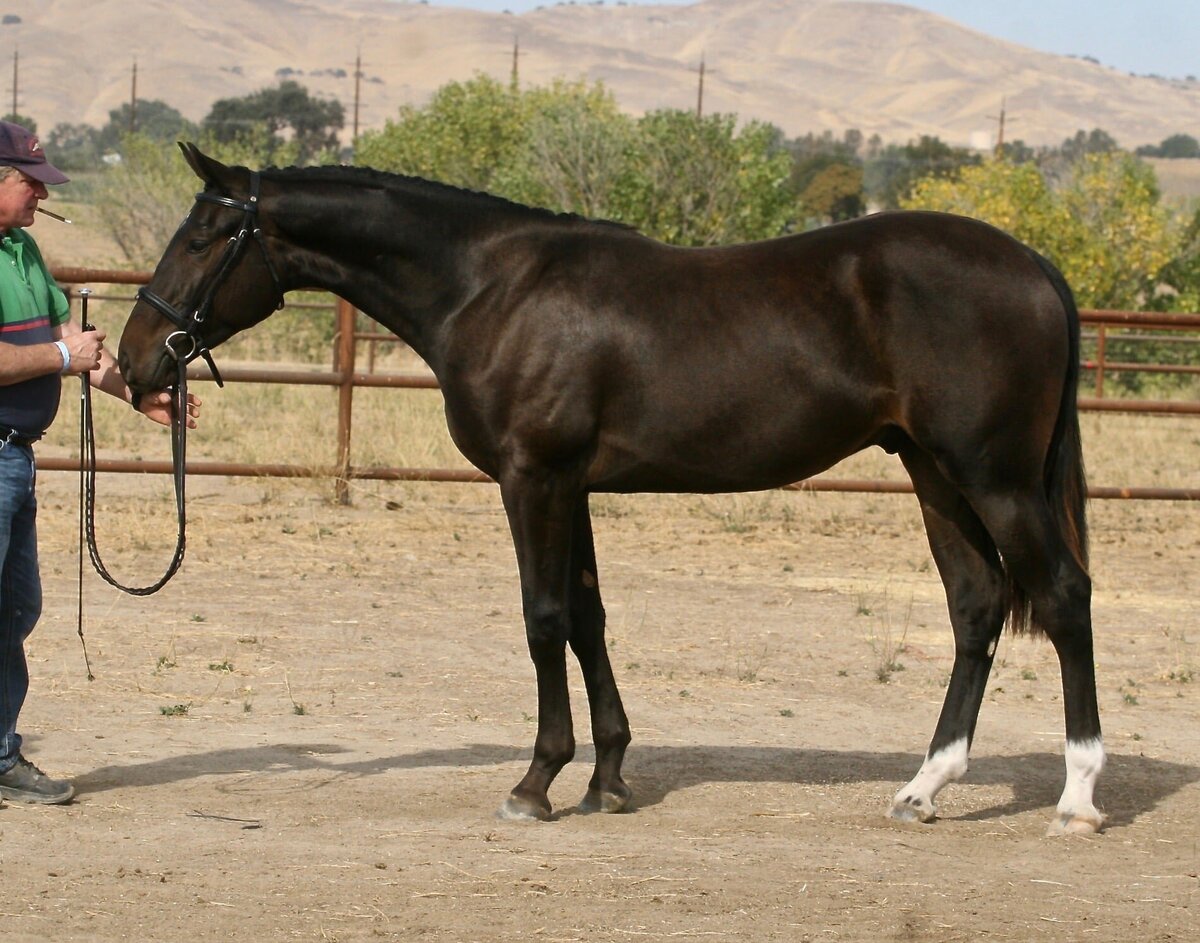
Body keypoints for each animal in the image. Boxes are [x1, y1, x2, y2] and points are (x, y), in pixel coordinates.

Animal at [117, 145, 1099, 830]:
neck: (491, 288)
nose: (135, 363)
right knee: (976, 605)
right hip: (933, 471)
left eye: (203, 237)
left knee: (1062, 594)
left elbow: (543, 618)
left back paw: (1077, 795)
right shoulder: (574, 486)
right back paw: (924, 787)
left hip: (996, 478)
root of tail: (1036, 268)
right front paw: (609, 778)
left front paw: (535, 782)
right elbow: (587, 617)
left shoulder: (534, 479)